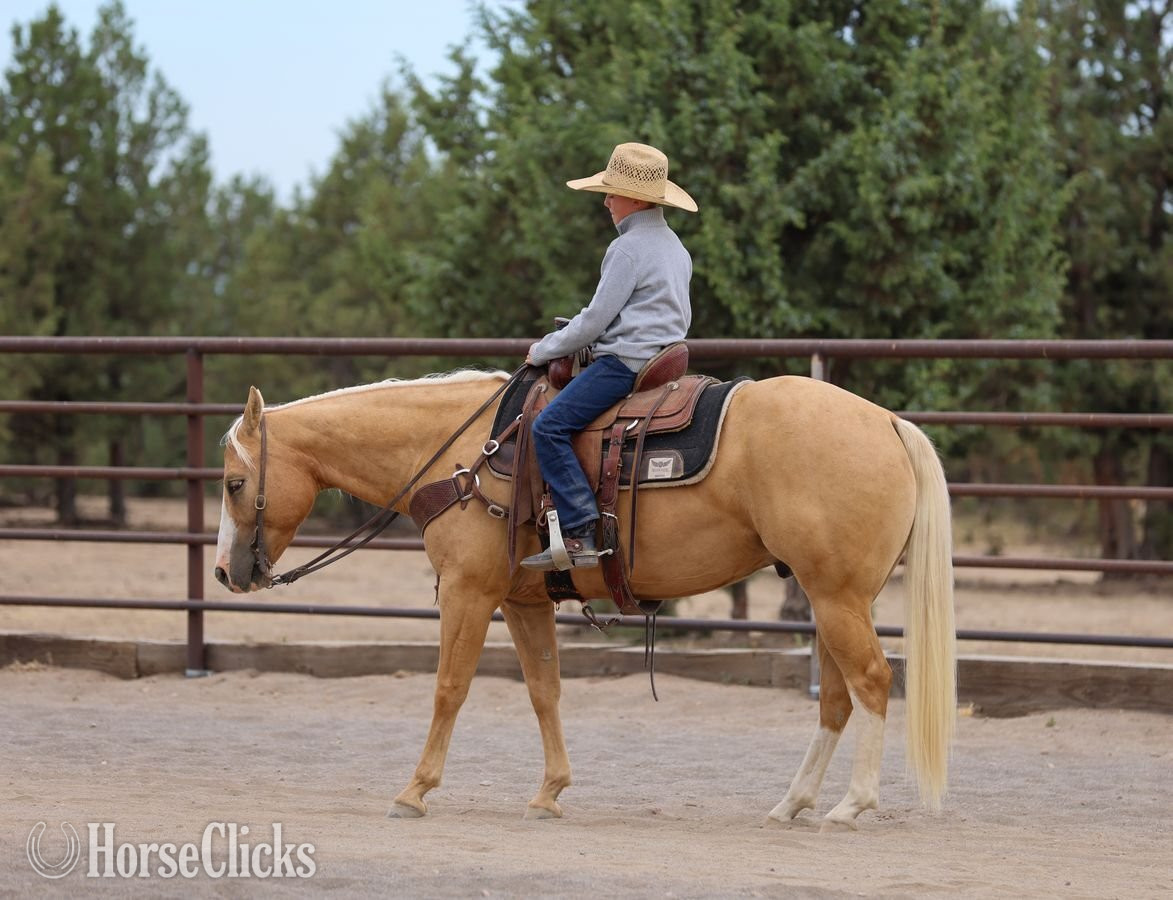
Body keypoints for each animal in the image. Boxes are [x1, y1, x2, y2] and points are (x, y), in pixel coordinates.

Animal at [213, 369, 956, 830]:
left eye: (230, 483)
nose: (224, 573)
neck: (462, 452)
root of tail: (887, 423)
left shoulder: (467, 592)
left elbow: (449, 688)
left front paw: (414, 791)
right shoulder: (522, 601)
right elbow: (545, 690)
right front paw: (549, 794)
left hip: (836, 597)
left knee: (870, 681)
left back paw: (850, 805)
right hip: (830, 598)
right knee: (836, 699)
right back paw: (792, 803)